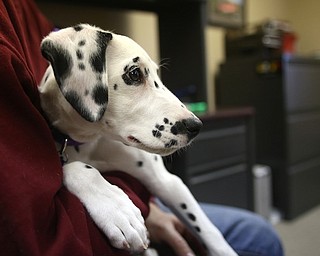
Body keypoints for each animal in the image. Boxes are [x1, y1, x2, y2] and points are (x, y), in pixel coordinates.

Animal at [38, 24, 238, 256]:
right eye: (134, 73)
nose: (195, 126)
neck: (91, 142)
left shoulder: (168, 183)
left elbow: (209, 230)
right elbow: (73, 168)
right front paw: (117, 210)